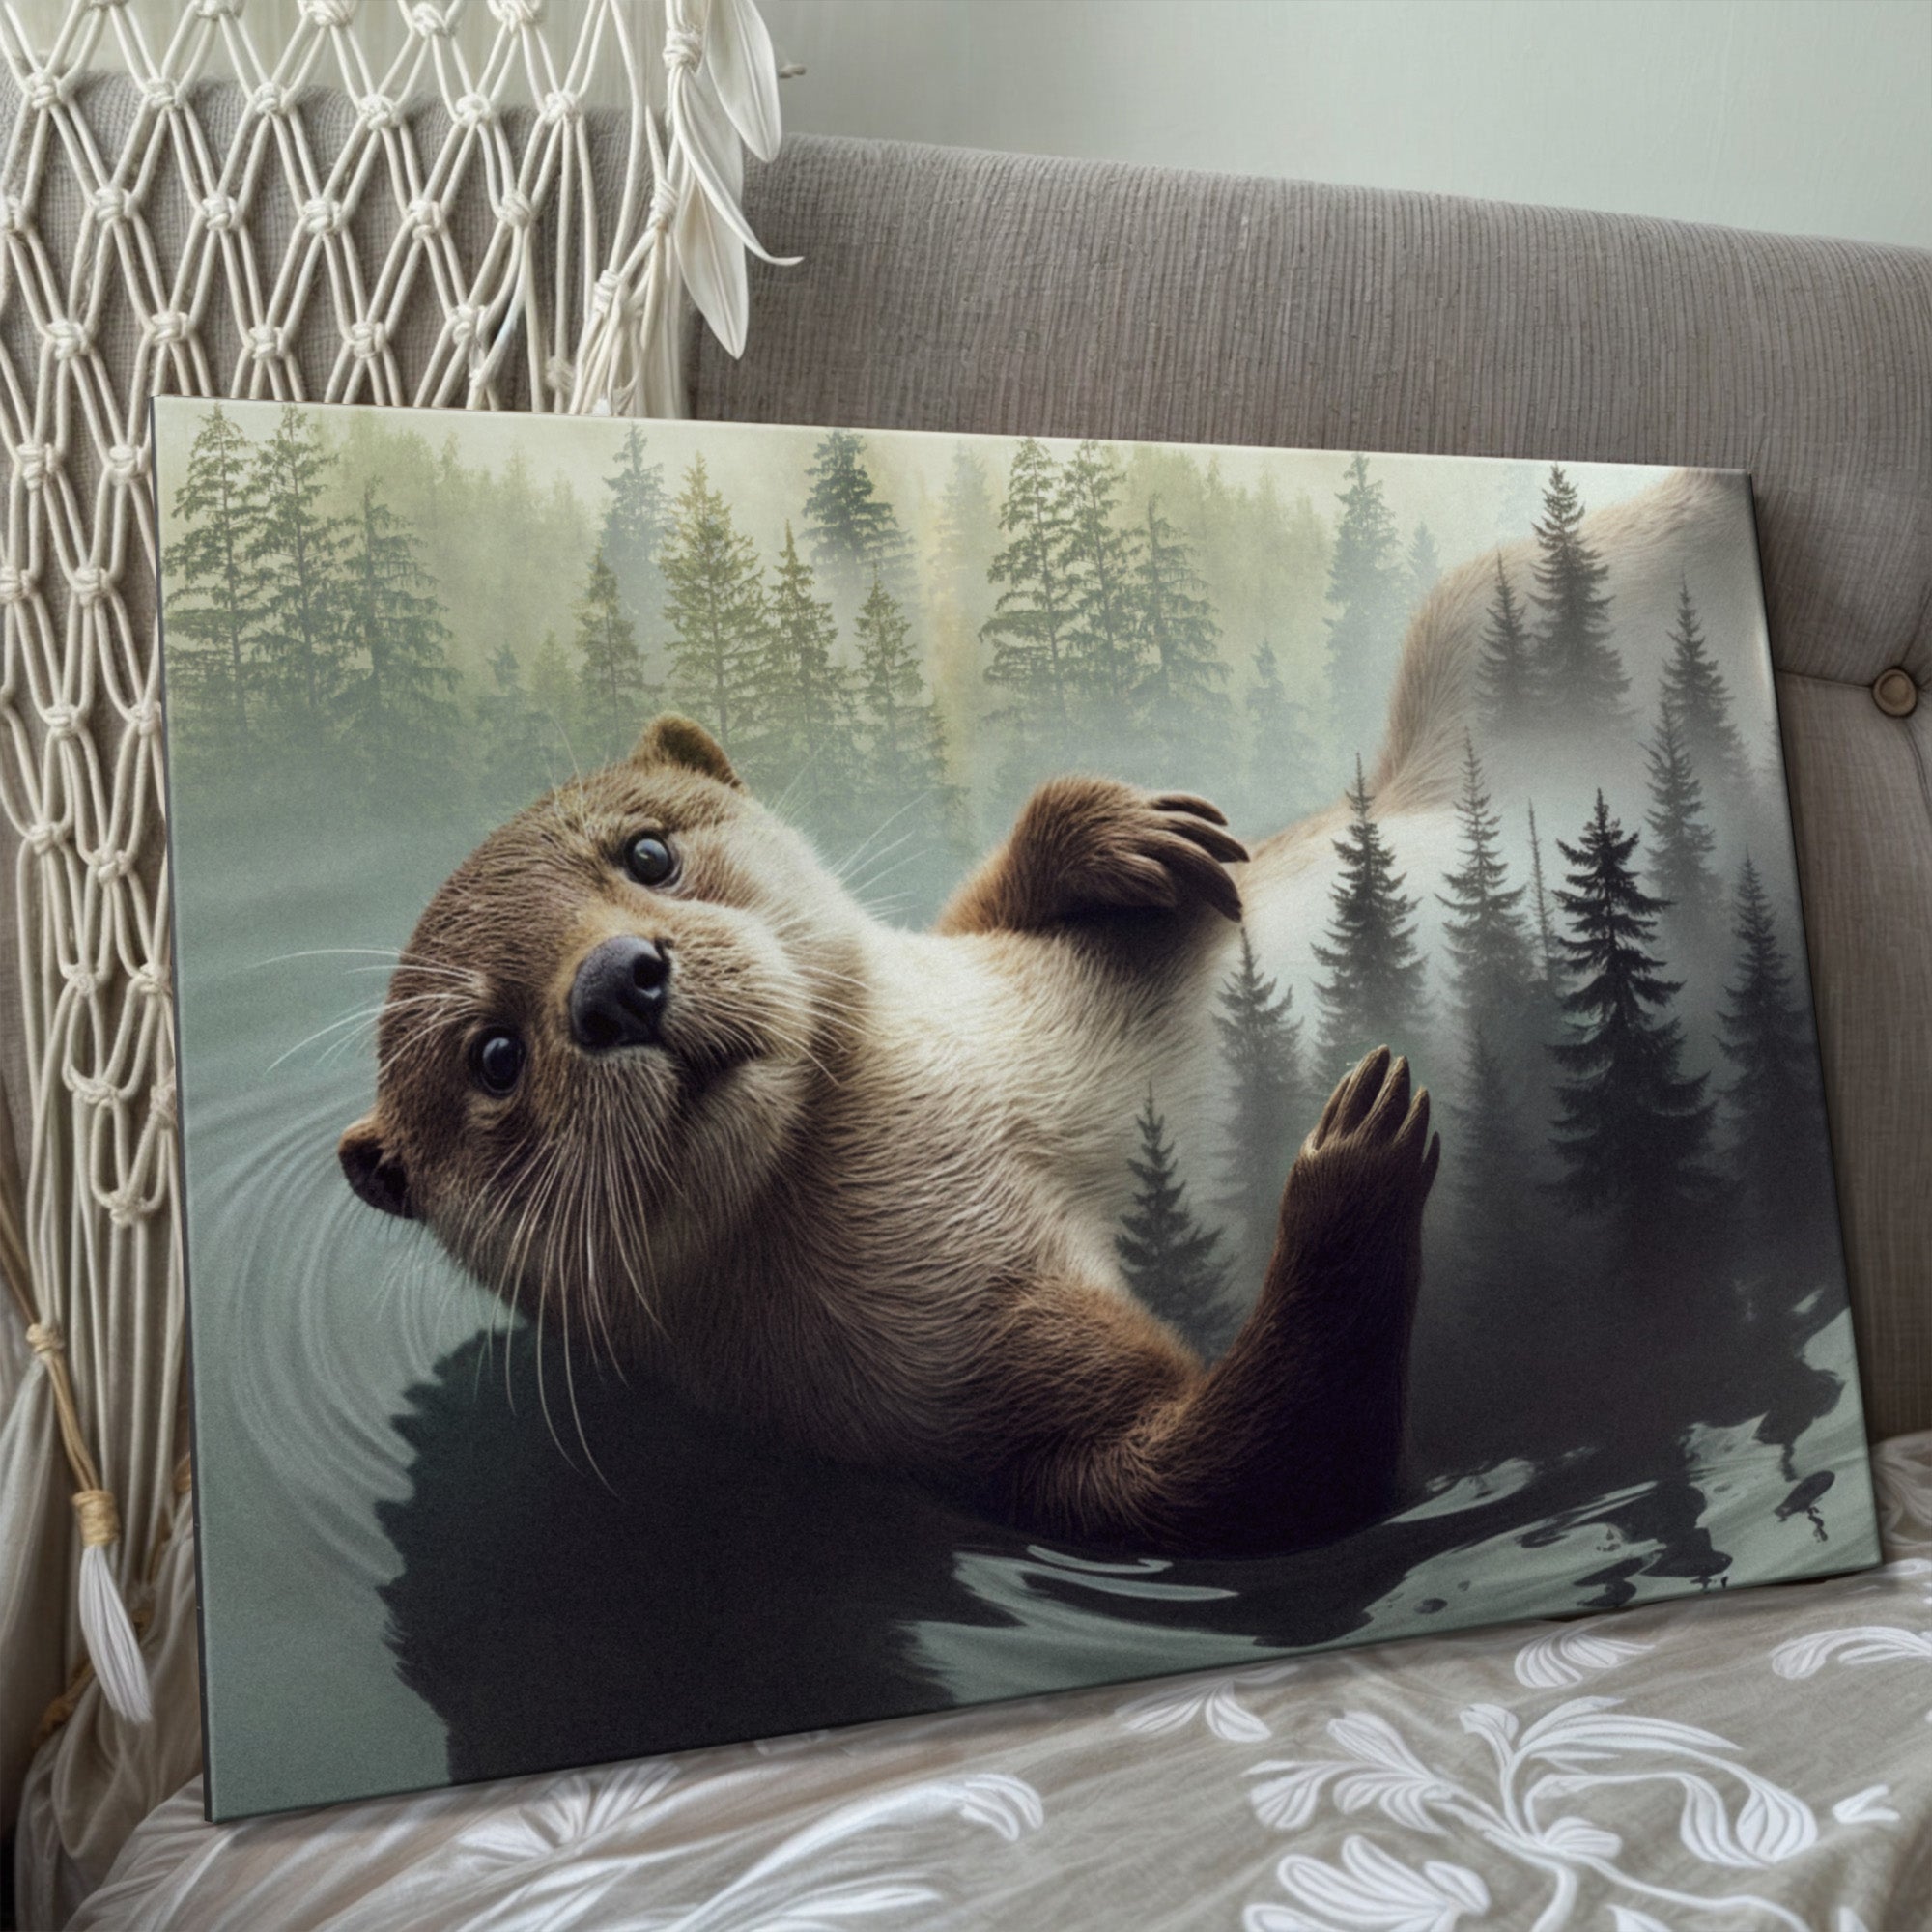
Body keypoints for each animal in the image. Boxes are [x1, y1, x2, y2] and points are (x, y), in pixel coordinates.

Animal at [339, 712, 1438, 1558]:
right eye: (492, 1056)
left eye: (646, 852)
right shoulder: (981, 1409)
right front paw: (1353, 1159)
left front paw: (1113, 829)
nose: (616, 981)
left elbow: (977, 910)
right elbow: (1231, 1479)